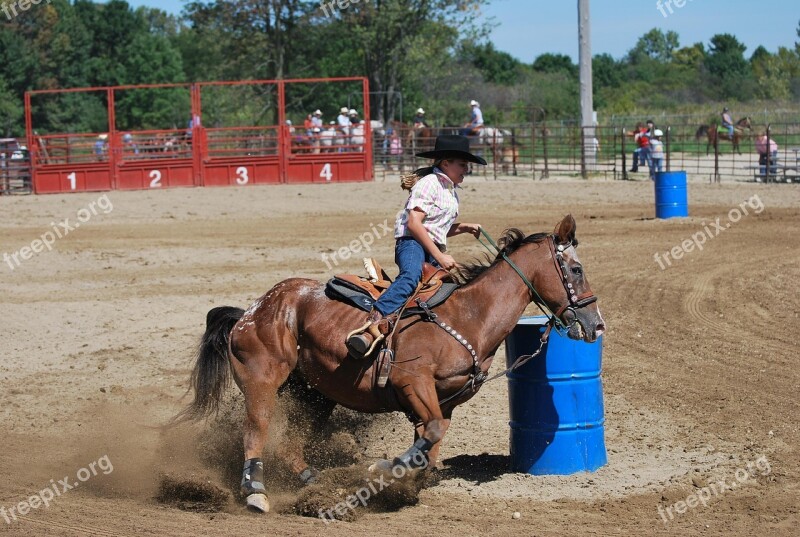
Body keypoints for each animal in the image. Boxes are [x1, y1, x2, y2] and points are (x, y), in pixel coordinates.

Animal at [180, 214, 608, 510]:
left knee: (289, 444)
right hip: (262, 381)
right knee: (256, 429)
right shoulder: (411, 383)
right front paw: (381, 469)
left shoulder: (444, 401)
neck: (469, 316)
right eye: (576, 269)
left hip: (314, 394)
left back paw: (317, 483)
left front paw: (403, 484)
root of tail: (252, 311)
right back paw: (255, 492)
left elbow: (430, 446)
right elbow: (430, 436)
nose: (596, 325)